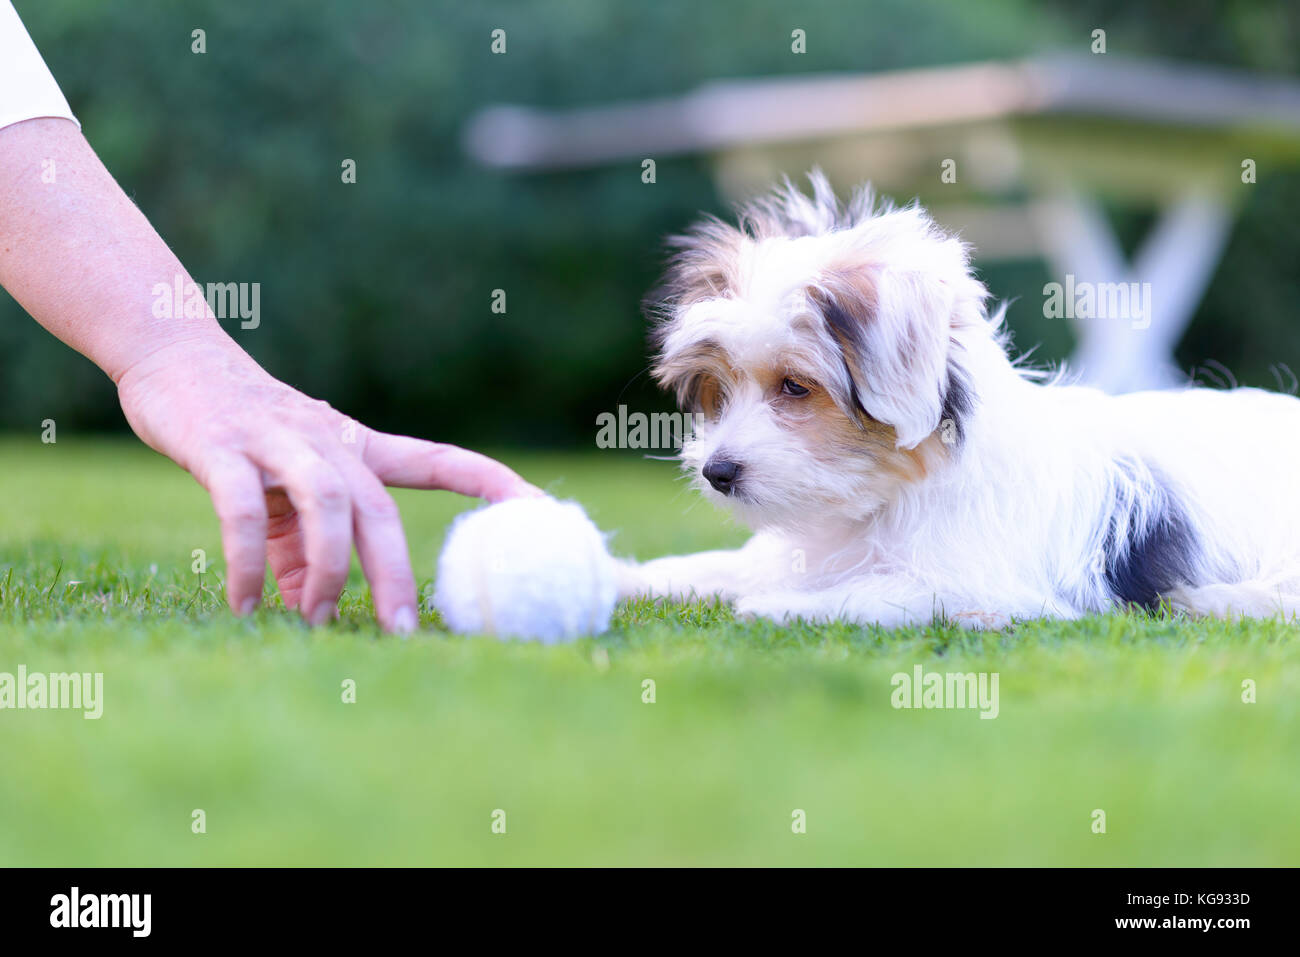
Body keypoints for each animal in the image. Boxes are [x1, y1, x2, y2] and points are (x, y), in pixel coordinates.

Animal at [616, 169, 1300, 629]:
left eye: (794, 386)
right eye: (720, 389)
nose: (717, 472)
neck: (893, 492)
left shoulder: (979, 584)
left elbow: (881, 594)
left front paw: (775, 607)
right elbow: (722, 565)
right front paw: (636, 576)